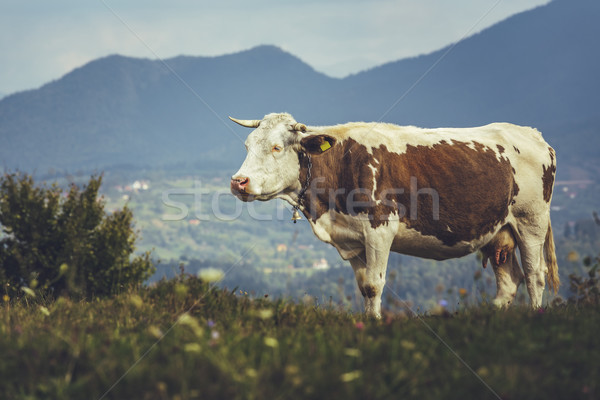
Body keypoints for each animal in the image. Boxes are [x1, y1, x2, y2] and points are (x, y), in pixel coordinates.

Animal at [229, 111, 556, 316]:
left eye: (276, 147)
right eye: (247, 145)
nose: (238, 181)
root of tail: (533, 135)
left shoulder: (380, 228)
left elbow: (374, 285)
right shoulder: (352, 238)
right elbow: (364, 286)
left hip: (531, 221)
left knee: (534, 275)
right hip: (499, 231)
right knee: (509, 281)